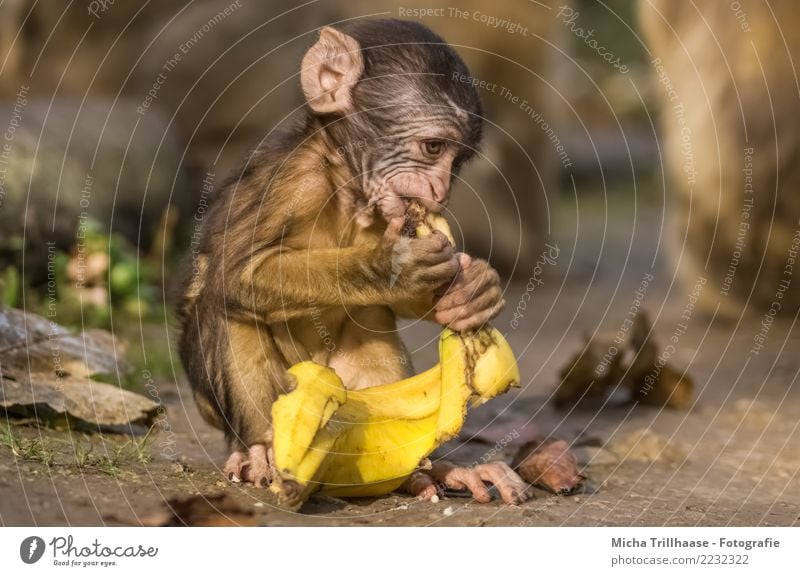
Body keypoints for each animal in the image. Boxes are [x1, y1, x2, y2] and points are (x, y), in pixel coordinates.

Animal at [180, 18, 532, 504]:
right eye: (433, 147)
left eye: (458, 160)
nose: (440, 192)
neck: (347, 186)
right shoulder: (293, 180)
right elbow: (235, 272)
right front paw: (391, 269)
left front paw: (477, 290)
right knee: (226, 305)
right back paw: (264, 450)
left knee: (369, 317)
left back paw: (423, 473)